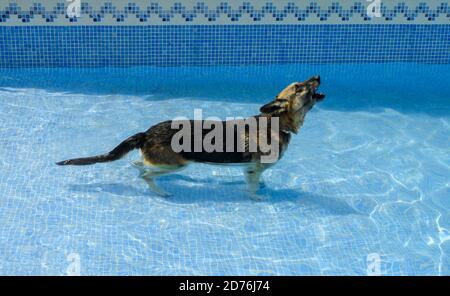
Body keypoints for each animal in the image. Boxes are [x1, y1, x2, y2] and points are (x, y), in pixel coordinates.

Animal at [57, 75, 324, 201]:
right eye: (300, 87)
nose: (317, 76)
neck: (276, 122)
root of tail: (146, 133)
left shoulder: (250, 168)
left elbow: (258, 180)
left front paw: (263, 186)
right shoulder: (252, 169)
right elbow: (252, 187)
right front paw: (257, 196)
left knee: (137, 164)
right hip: (176, 164)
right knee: (146, 175)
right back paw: (161, 193)